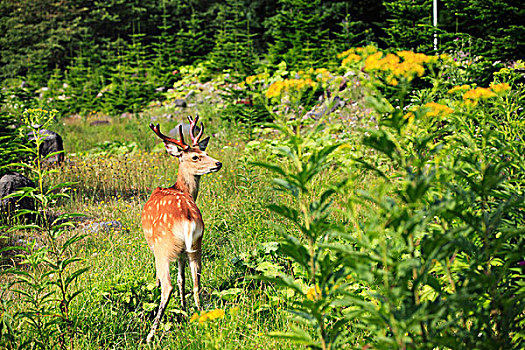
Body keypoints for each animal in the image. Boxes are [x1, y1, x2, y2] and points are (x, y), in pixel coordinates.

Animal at [141, 116, 221, 344]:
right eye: (196, 156)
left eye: (204, 151)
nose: (218, 163)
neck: (180, 188)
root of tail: (187, 218)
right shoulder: (184, 253)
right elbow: (182, 279)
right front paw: (184, 309)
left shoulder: (155, 248)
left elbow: (164, 280)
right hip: (196, 245)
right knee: (196, 280)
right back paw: (199, 313)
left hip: (163, 248)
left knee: (166, 285)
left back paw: (151, 333)